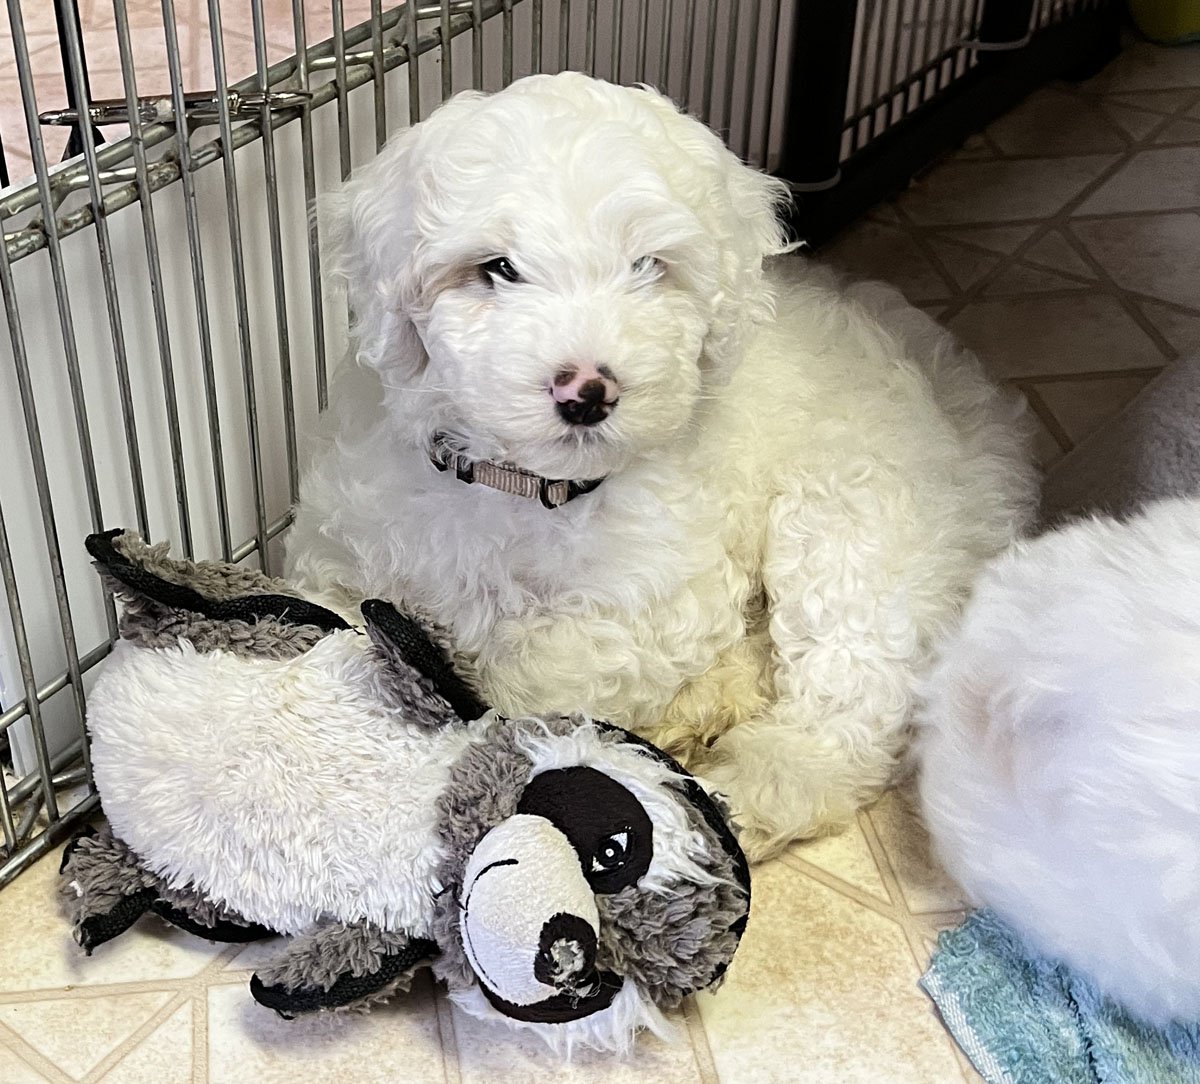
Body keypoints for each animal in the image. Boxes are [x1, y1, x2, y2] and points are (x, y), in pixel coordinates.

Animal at [285, 72, 1036, 859]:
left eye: (647, 266)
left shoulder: (656, 597)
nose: (588, 391)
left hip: (851, 523)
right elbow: (332, 627)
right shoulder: (343, 549)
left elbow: (537, 672)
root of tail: (978, 406)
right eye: (498, 269)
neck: (523, 489)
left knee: (848, 695)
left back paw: (750, 788)